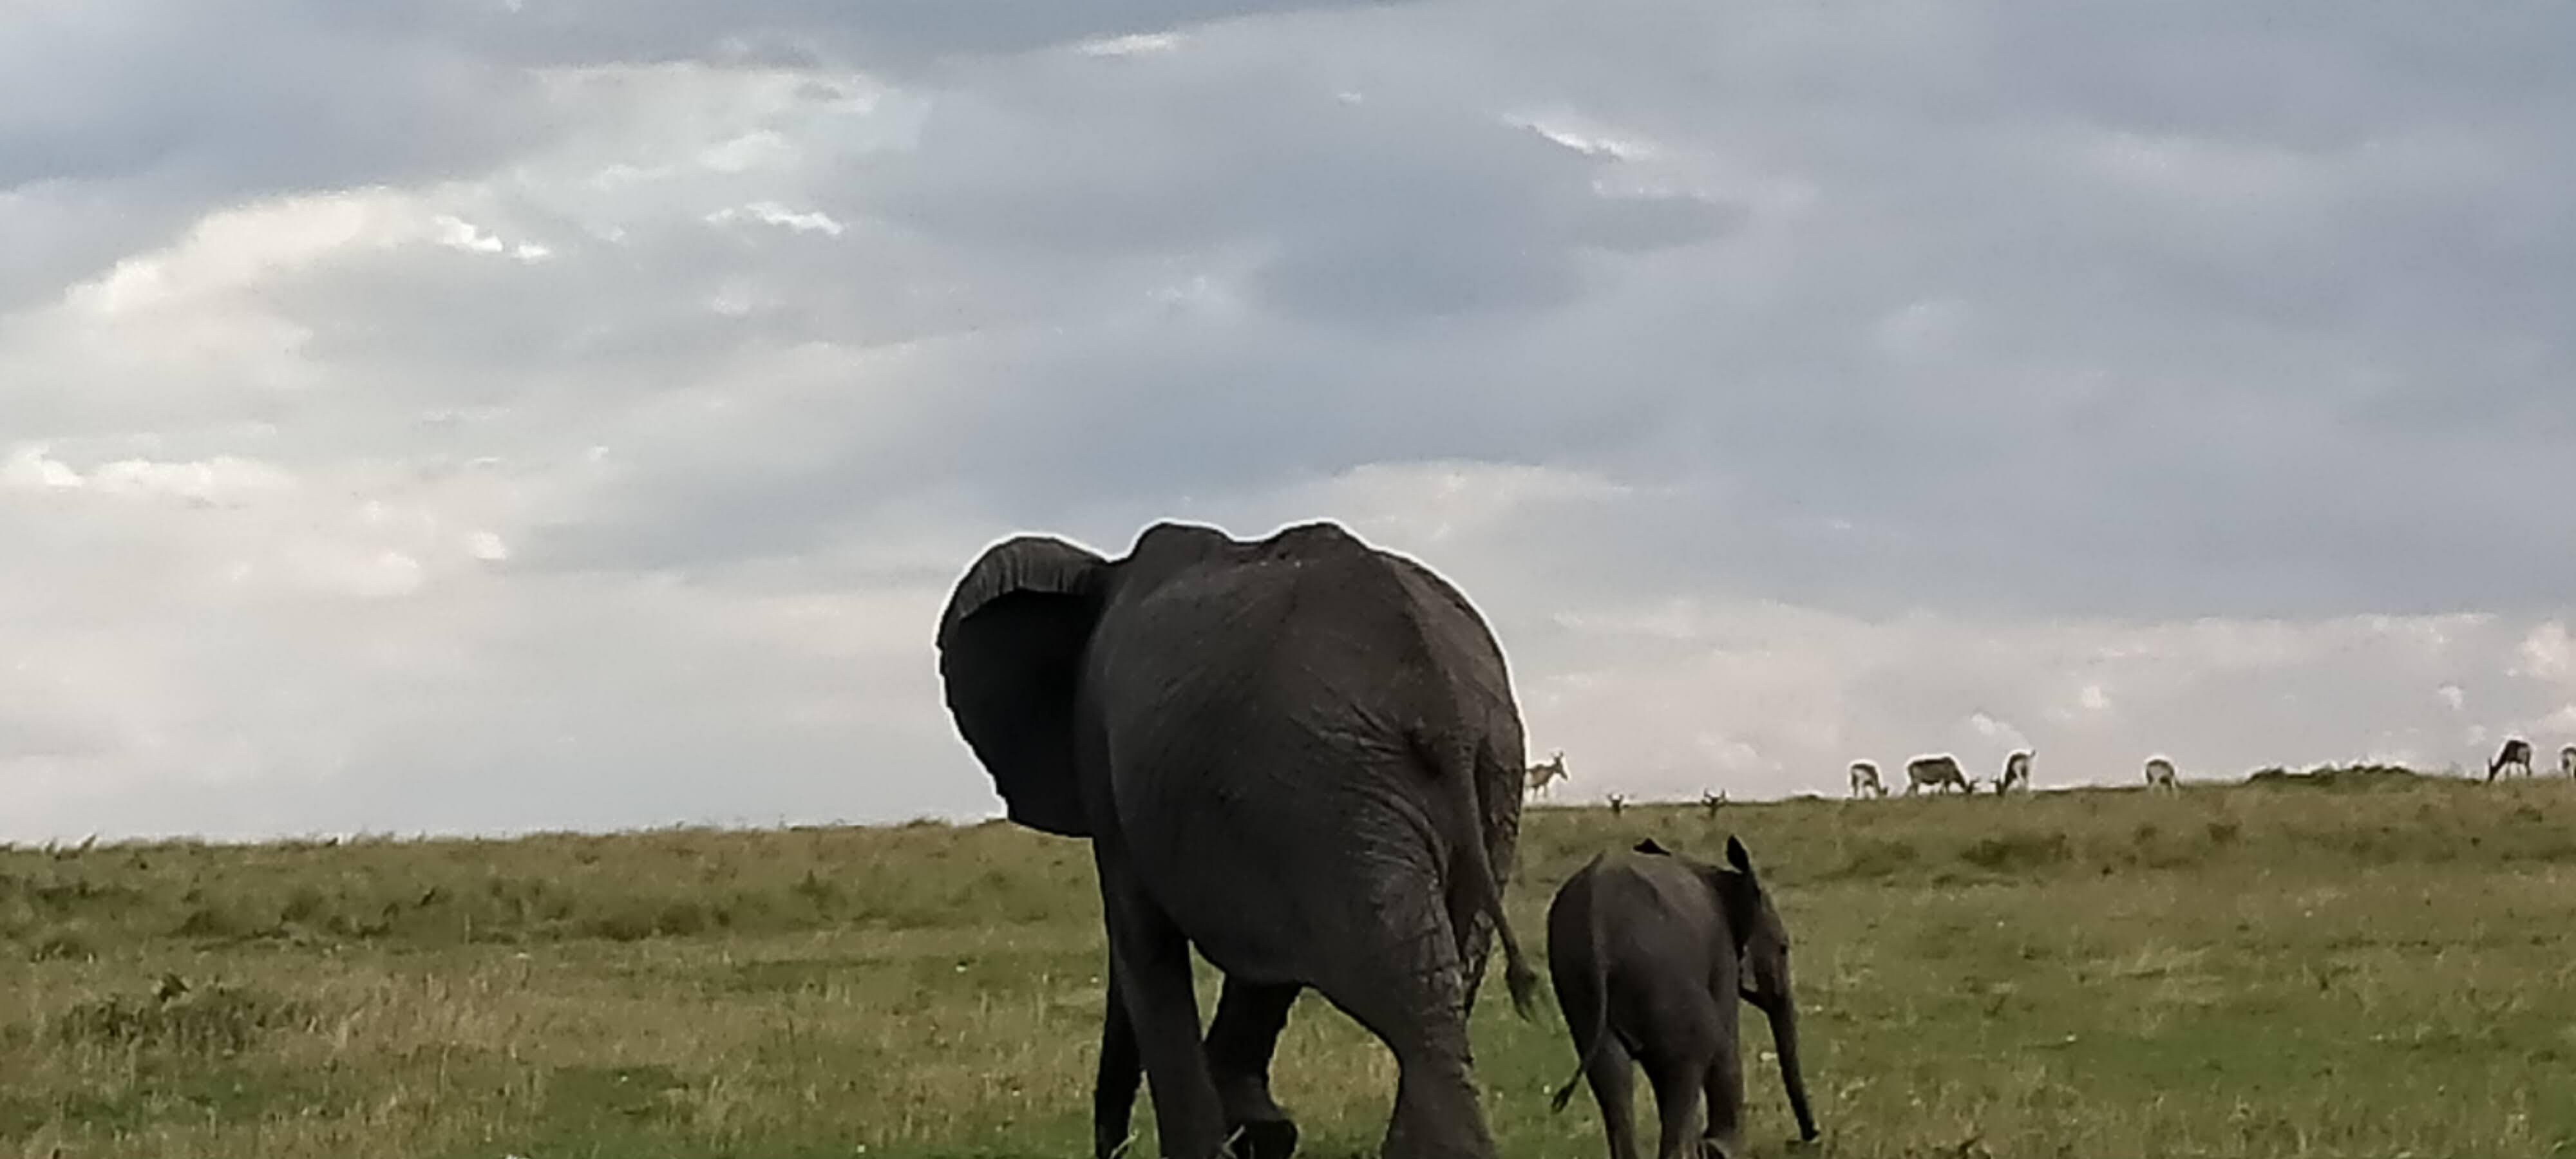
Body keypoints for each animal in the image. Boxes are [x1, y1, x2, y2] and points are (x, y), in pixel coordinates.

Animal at [935, 520, 1540, 1159]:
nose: (1109, 1149)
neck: (1104, 573)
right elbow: (1260, 965)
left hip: (1336, 784)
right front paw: (1259, 1132)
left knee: (1406, 991)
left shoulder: (1110, 766)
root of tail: (1444, 704)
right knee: (1446, 972)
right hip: (1476, 782)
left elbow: (1143, 944)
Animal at [1546, 836, 1818, 1159]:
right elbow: (1726, 1041)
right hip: (1659, 972)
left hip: (1579, 981)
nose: (1810, 1136)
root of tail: (1596, 917)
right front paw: (1720, 1150)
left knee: (1612, 1074)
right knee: (1692, 1054)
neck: (1724, 877)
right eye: (1784, 948)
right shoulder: (1723, 954)